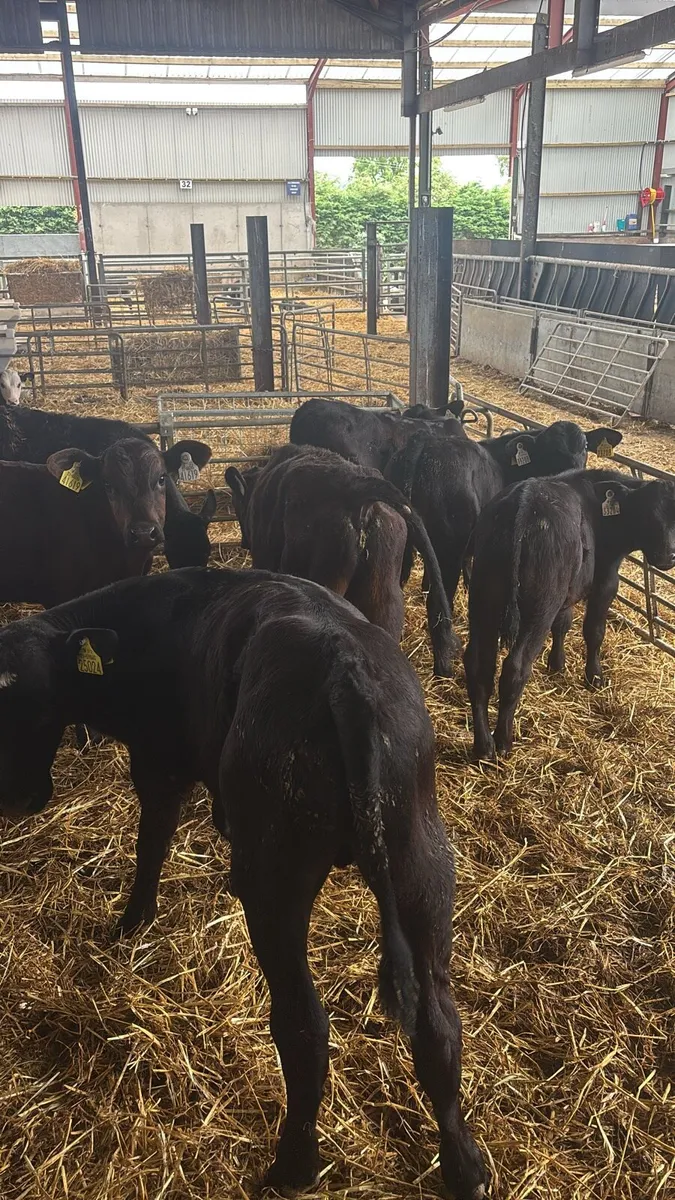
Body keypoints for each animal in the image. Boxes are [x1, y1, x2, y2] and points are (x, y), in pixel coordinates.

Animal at [0, 567, 487, 1199]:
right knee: (438, 1024)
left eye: (41, 709)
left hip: (278, 883)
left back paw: (293, 1165)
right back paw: (464, 1165)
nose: (16, 800)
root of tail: (346, 669)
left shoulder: (159, 764)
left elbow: (151, 843)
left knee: (304, 1024)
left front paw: (131, 922)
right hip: (422, 865)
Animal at [464, 467, 675, 762]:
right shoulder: (606, 581)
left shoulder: (567, 595)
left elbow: (563, 624)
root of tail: (523, 504)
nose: (667, 556)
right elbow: (594, 631)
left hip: (483, 599)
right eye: (647, 514)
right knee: (515, 667)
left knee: (477, 665)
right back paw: (504, 742)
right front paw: (594, 677)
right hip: (539, 607)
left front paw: (557, 664)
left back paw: (483, 747)